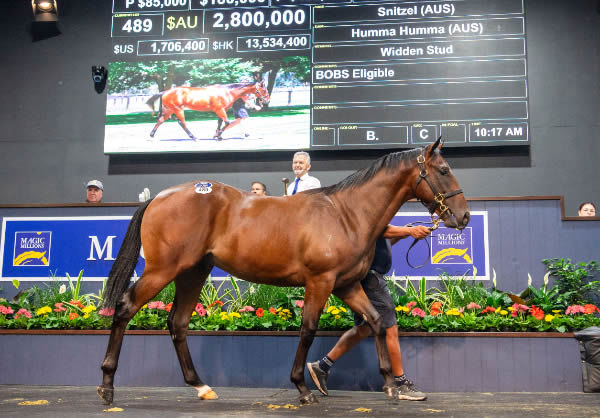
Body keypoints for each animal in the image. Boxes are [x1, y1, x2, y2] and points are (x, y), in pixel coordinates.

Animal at [97, 139, 468, 406]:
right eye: (444, 169)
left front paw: (391, 384)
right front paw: (302, 388)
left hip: (193, 271)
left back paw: (201, 386)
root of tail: (158, 196)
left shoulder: (346, 285)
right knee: (126, 308)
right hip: (164, 270)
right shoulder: (320, 282)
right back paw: (107, 387)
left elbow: (376, 322)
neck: (346, 214)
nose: (463, 216)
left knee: (177, 322)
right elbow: (307, 330)